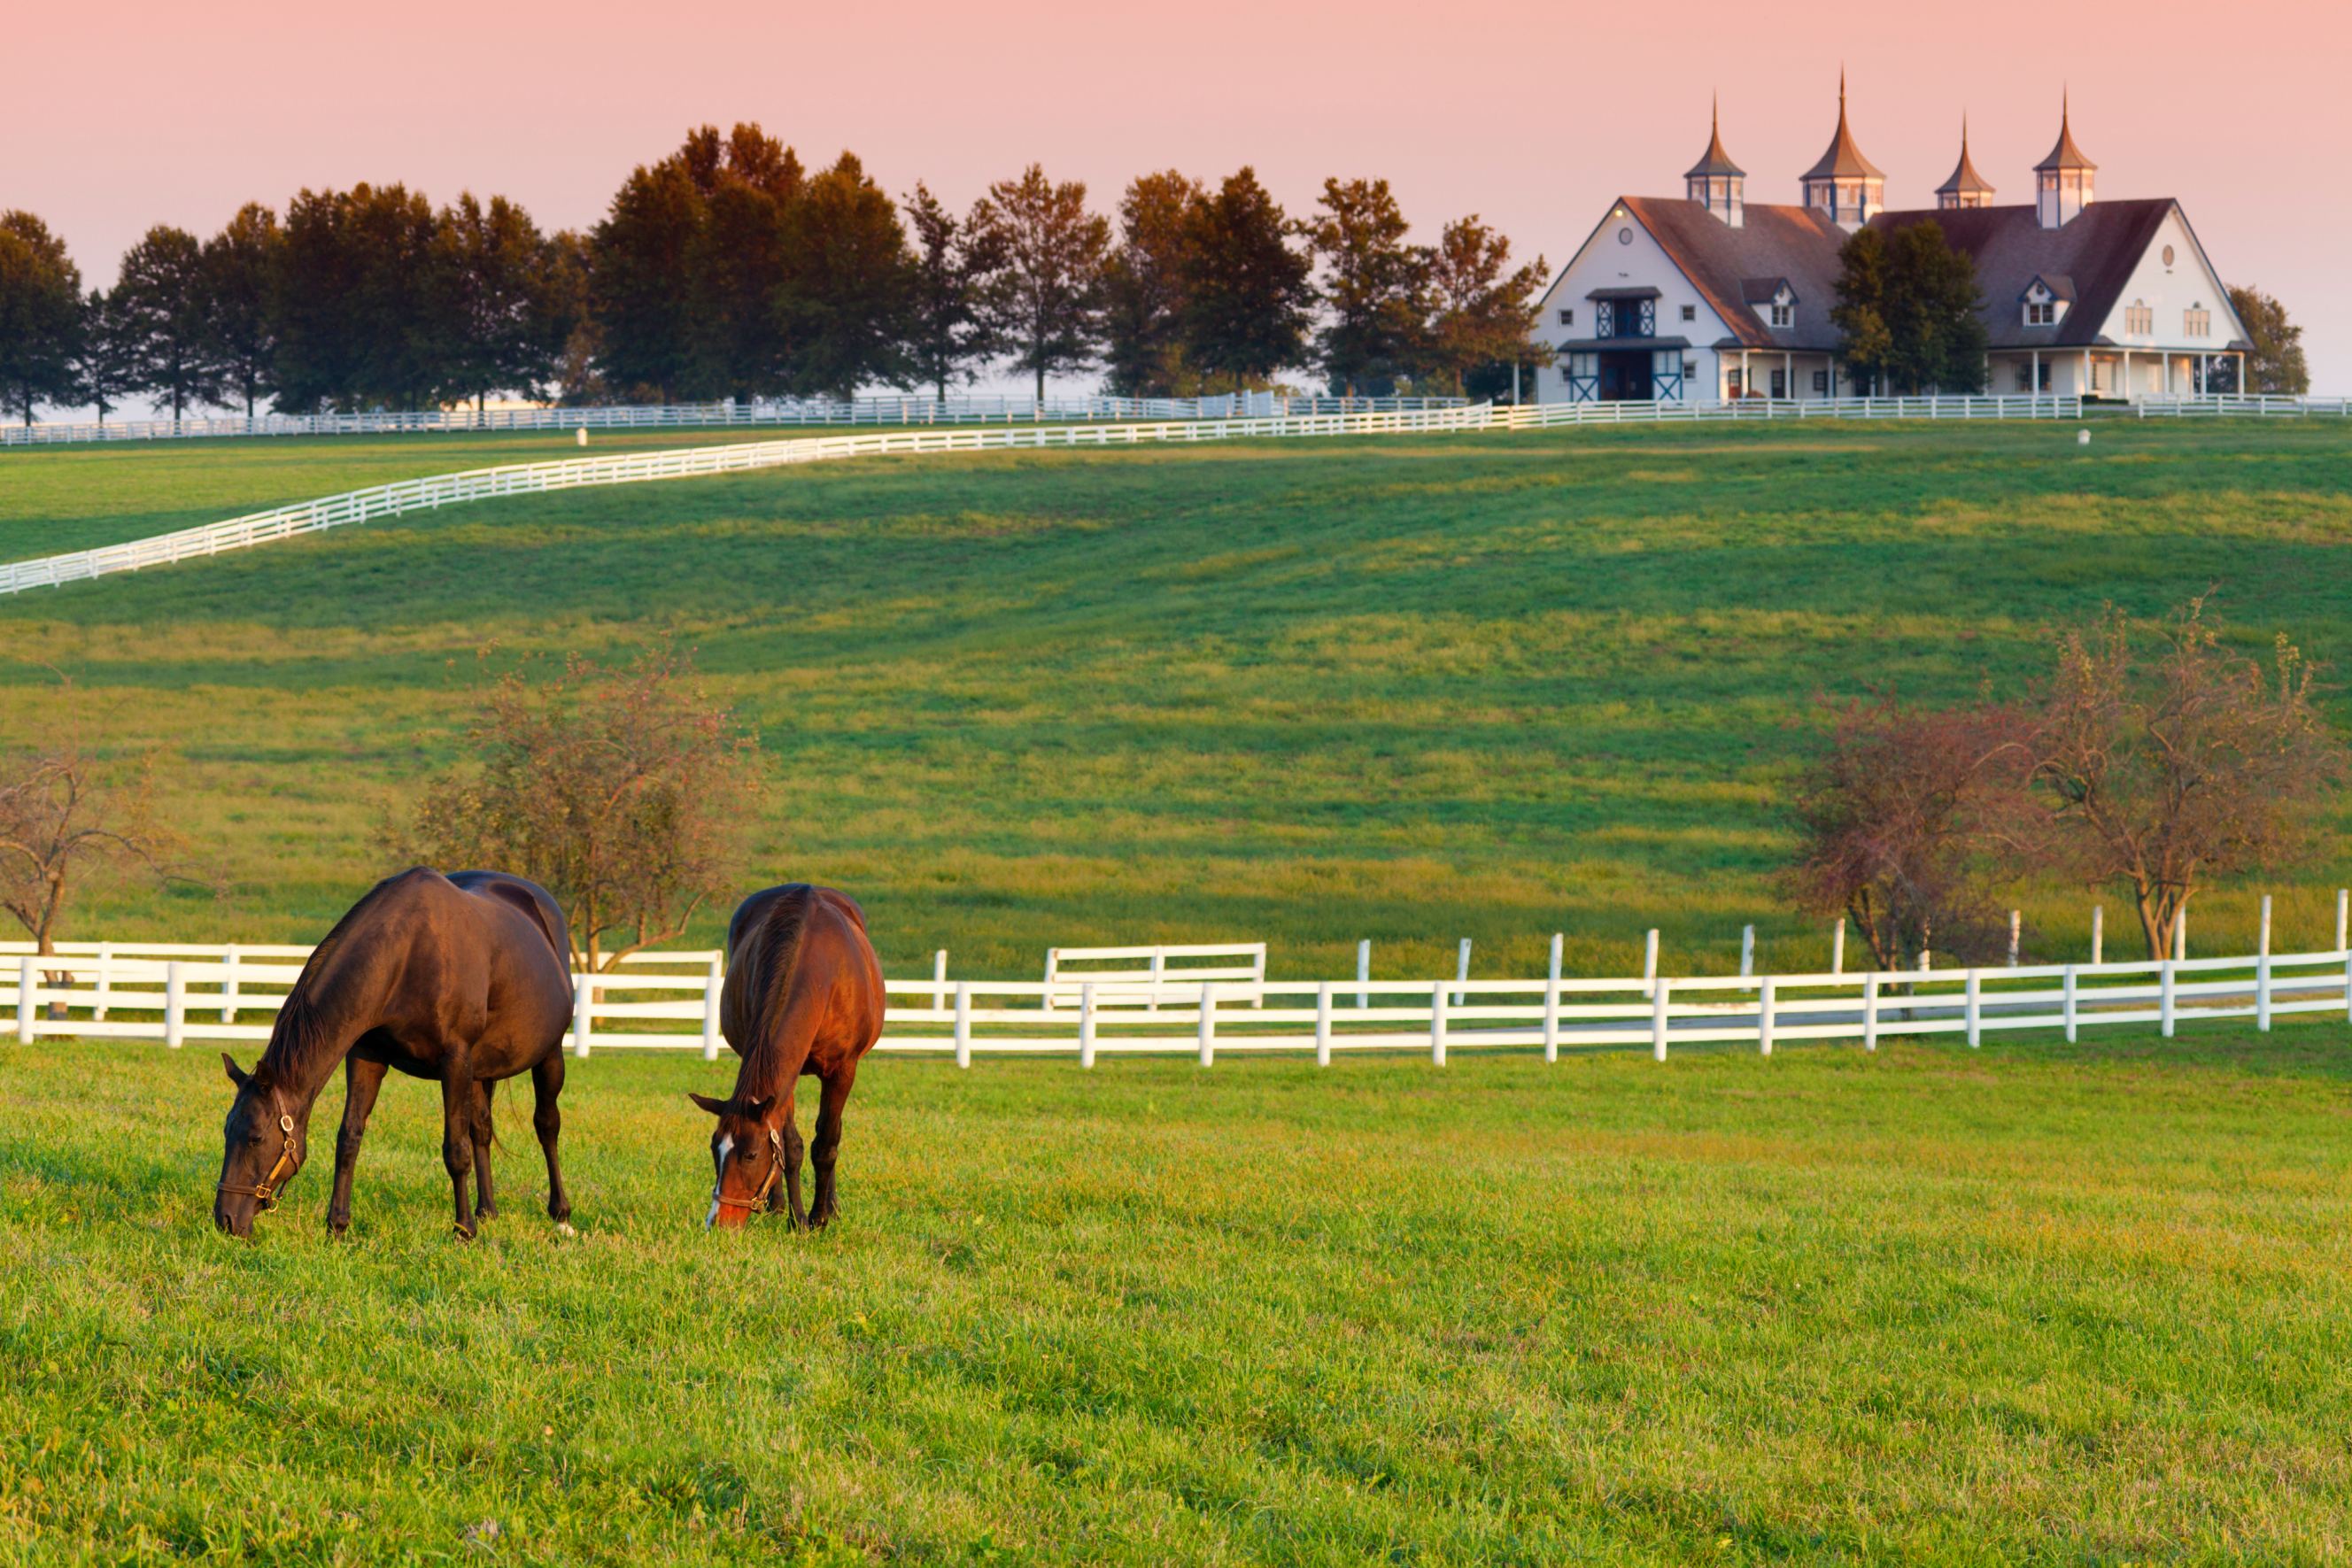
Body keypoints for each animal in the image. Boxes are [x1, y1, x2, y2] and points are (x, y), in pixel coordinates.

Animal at [213, 865, 576, 1240]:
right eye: (227, 1131)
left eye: (255, 1138)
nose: (226, 1219)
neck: (407, 955)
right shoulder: (366, 1056)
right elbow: (349, 1137)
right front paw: (337, 1225)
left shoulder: (455, 1060)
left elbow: (455, 1150)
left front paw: (464, 1230)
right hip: (481, 1070)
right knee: (482, 1130)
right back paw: (487, 1210)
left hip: (549, 1055)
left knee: (547, 1125)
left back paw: (560, 1214)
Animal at [696, 888, 888, 1232]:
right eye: (714, 1149)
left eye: (750, 1155)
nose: (718, 1222)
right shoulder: (785, 1076)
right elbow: (790, 1146)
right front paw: (797, 1218)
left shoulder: (843, 1070)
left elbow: (826, 1143)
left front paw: (819, 1217)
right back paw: (777, 1206)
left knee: (831, 1132)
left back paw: (831, 1207)